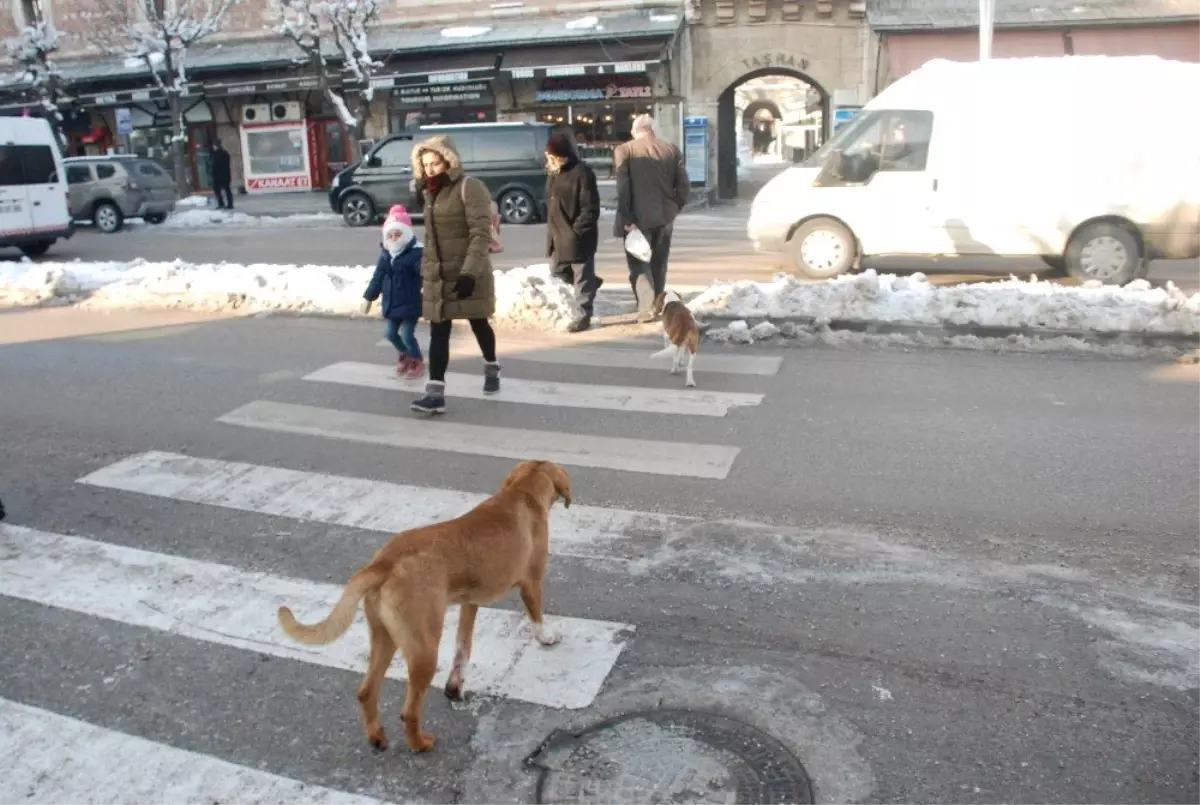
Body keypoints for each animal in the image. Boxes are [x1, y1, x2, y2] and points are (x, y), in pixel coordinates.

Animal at [276, 460, 571, 758]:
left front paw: (455, 686)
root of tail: (385, 562)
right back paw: (420, 743)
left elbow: (463, 648)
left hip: (385, 637)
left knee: (366, 691)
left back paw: (377, 737)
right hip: (424, 651)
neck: (522, 491)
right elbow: (536, 614)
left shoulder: (470, 603)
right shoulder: (531, 582)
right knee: (408, 712)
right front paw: (547, 636)